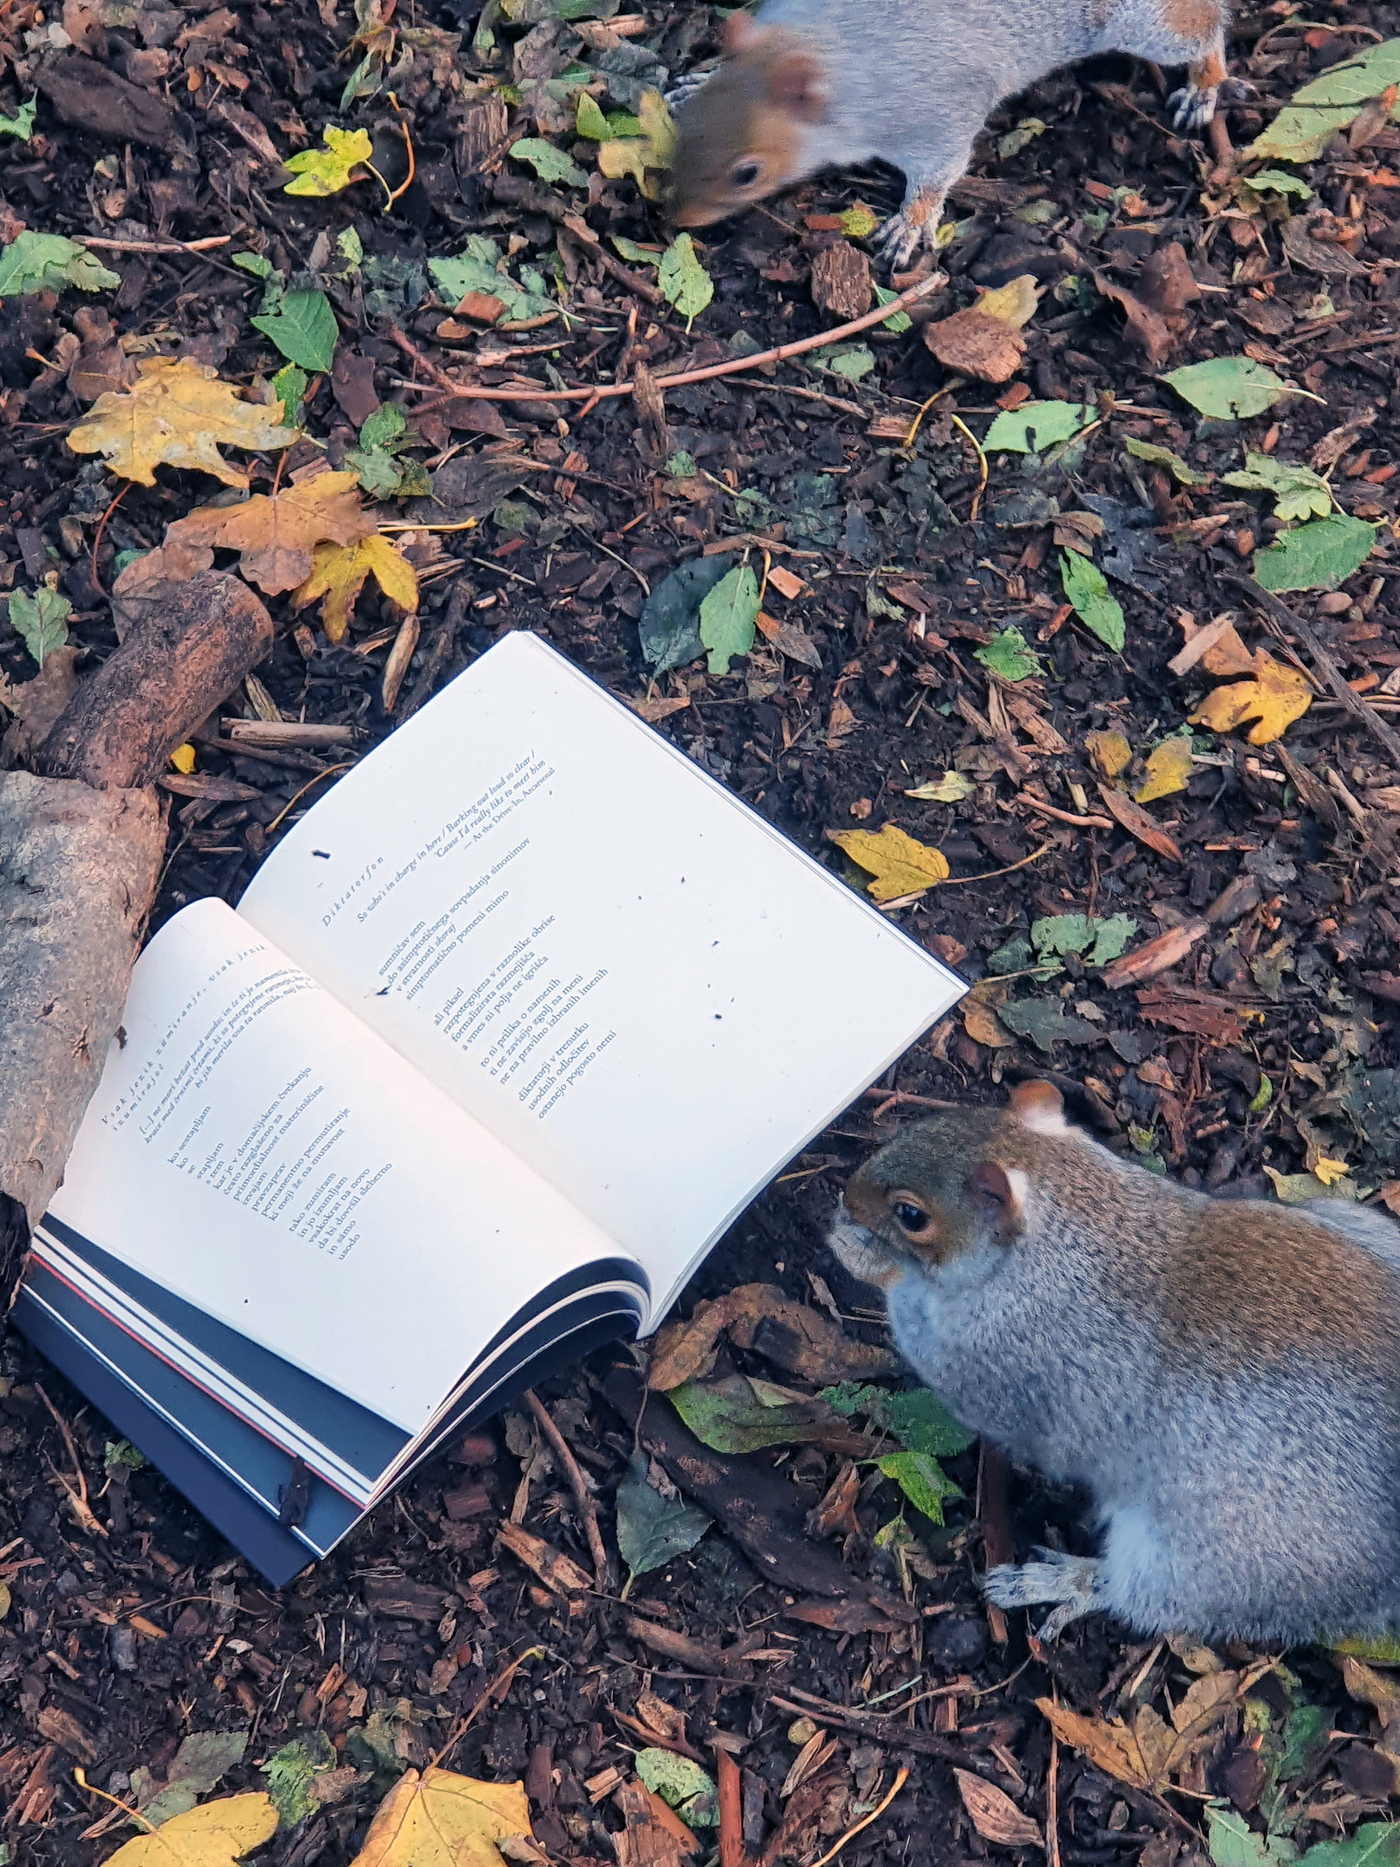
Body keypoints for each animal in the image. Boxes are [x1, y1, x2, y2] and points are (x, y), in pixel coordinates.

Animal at [668, 0, 1232, 266]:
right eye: (689, 125)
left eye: (747, 173)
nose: (673, 217)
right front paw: (693, 79)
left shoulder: (934, 115)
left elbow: (940, 170)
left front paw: (911, 222)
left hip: (1147, 28)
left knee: (1203, 28)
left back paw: (1205, 84)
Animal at [828, 1079, 1400, 1644]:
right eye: (922, 1127)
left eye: (911, 1215)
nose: (847, 1195)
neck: (1081, 1225)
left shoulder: (998, 1364)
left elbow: (930, 1346)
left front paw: (859, 1252)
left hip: (1217, 1555)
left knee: (1141, 1595)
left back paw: (1061, 1580)